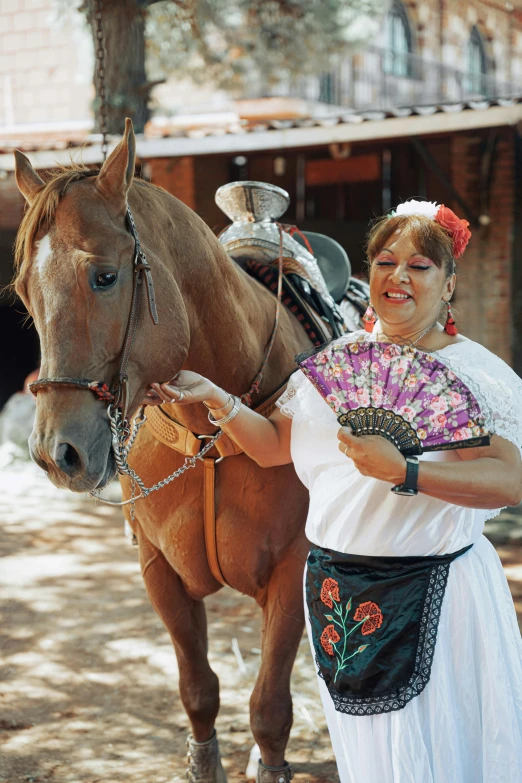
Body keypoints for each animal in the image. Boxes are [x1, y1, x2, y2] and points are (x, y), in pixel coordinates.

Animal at [13, 119, 312, 780]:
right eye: (23, 290)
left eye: (105, 276)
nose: (56, 454)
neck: (213, 437)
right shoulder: (159, 570)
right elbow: (199, 692)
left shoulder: (293, 570)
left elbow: (270, 710)